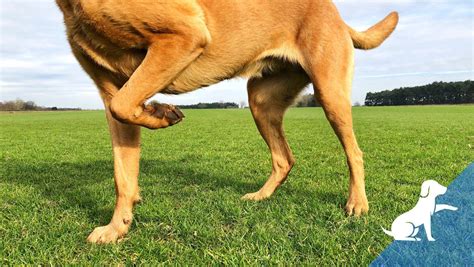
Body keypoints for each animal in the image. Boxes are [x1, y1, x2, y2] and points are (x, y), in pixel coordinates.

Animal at [55, 0, 400, 244]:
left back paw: (357, 203)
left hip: (329, 91)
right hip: (261, 100)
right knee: (284, 158)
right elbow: (122, 172)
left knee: (354, 152)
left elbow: (124, 106)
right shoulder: (110, 89)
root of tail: (337, 15)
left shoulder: (185, 34)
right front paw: (117, 228)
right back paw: (261, 196)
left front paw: (161, 113)